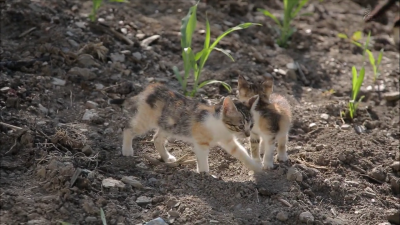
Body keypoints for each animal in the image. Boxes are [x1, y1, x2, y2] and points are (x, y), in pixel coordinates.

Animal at [108, 83, 262, 173]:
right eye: (240, 126)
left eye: (251, 125)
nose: (248, 134)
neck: (221, 126)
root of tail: (150, 88)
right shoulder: (201, 143)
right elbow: (203, 159)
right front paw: (205, 174)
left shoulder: (228, 141)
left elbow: (241, 152)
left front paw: (257, 169)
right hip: (145, 121)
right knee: (128, 129)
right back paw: (127, 150)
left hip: (168, 125)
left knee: (157, 139)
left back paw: (167, 157)